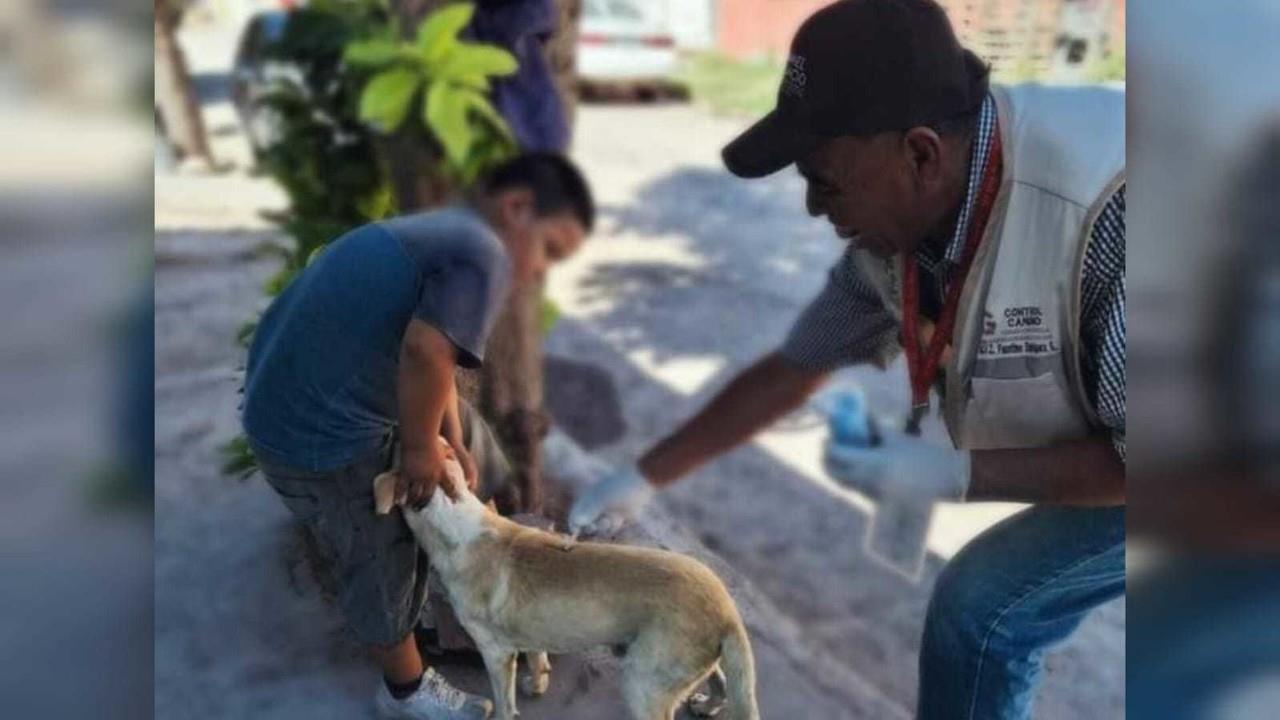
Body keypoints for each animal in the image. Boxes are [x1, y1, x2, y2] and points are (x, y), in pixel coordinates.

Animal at [373, 445, 757, 717]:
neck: (456, 523)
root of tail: (729, 613)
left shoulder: (496, 653)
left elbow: (504, 704)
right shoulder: (527, 632)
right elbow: (537, 657)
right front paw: (537, 683)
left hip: (643, 685)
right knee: (721, 679)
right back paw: (709, 705)